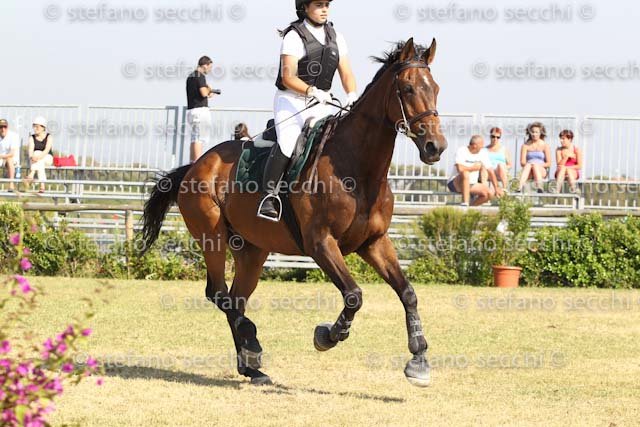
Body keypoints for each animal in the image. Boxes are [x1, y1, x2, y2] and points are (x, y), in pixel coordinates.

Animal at [141, 37, 447, 387]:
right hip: (212, 238)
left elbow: (407, 292)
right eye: (408, 89)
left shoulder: (374, 242)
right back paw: (252, 342)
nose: (436, 146)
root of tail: (196, 165)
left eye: (435, 88)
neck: (357, 169)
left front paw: (419, 360)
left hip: (252, 250)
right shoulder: (320, 243)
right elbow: (354, 295)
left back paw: (252, 365)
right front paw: (327, 336)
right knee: (218, 294)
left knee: (235, 298)